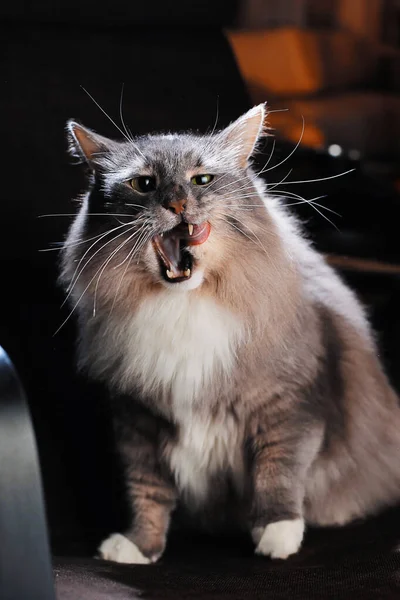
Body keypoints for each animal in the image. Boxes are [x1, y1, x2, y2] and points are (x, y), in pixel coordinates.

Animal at [60, 105, 400, 564]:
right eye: (143, 184)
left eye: (202, 180)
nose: (177, 203)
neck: (183, 305)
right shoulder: (138, 423)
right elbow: (146, 493)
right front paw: (138, 547)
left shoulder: (288, 407)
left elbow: (278, 472)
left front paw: (277, 536)